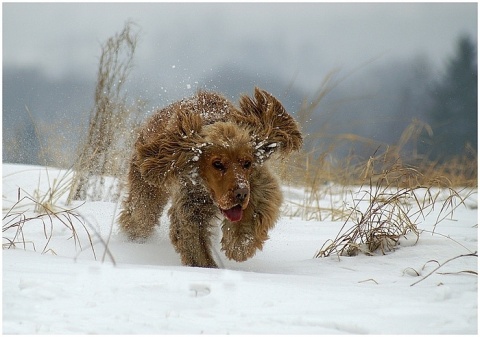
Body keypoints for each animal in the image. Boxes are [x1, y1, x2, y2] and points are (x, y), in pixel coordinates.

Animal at [118, 87, 302, 268]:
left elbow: (256, 210)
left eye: (247, 163)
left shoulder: (258, 184)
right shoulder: (191, 204)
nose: (241, 194)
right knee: (140, 216)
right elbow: (195, 243)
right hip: (146, 188)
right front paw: (208, 266)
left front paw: (239, 245)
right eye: (218, 164)